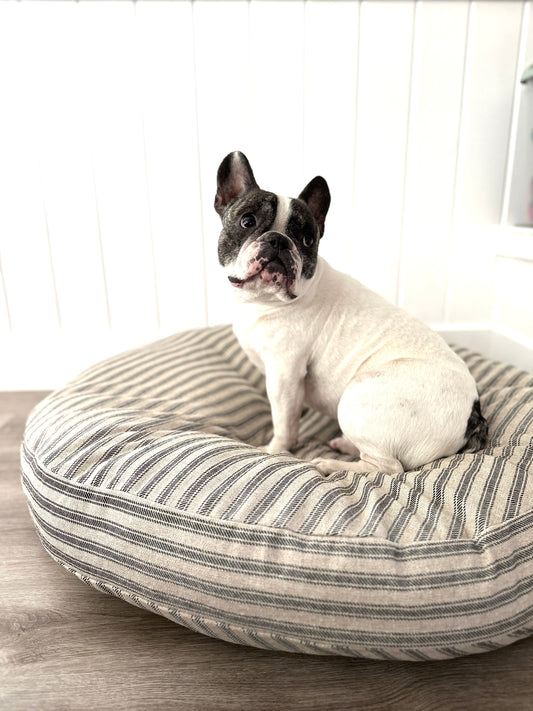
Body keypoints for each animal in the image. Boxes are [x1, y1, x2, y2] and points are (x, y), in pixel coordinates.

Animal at [214, 151, 484, 476]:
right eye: (247, 221)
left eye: (307, 240)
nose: (278, 239)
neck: (265, 300)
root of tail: (472, 417)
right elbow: (292, 414)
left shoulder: (283, 373)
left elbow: (283, 422)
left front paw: (275, 450)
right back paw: (344, 444)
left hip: (357, 399)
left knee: (388, 467)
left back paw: (330, 463)